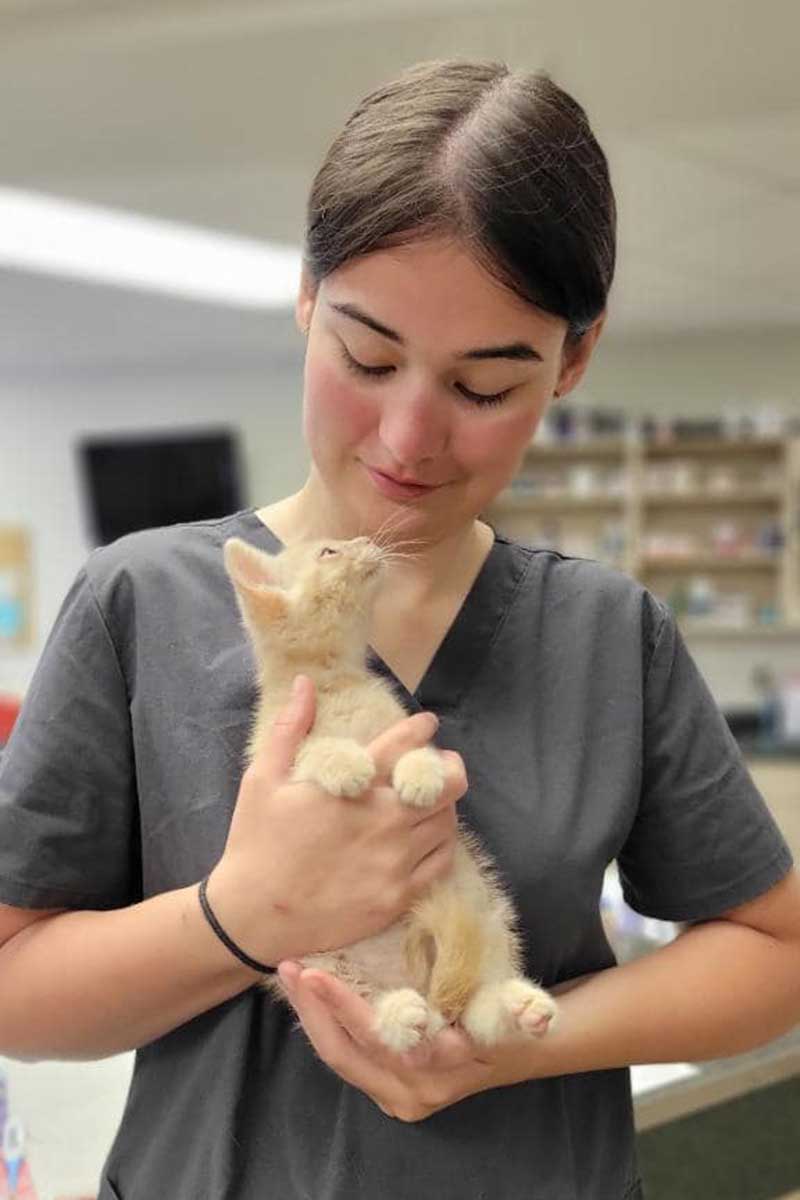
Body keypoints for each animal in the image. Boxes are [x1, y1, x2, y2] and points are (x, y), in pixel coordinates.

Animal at [220, 535, 556, 1051]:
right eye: (329, 552)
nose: (365, 541)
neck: (334, 680)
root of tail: (421, 991)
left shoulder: (401, 727)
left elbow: (418, 751)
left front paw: (420, 776)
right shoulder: (277, 758)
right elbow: (313, 752)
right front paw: (346, 763)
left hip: (488, 914)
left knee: (474, 1014)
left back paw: (517, 1008)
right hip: (322, 966)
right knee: (376, 1006)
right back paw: (399, 1013)